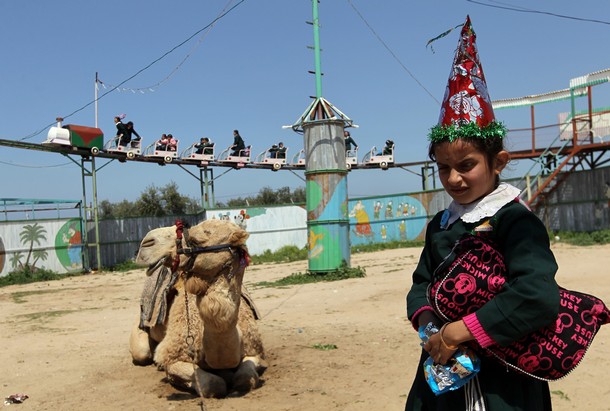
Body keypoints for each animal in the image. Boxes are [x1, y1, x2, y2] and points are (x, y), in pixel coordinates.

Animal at [128, 220, 266, 398]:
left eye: (199, 238)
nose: (147, 242)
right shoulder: (175, 355)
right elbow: (212, 384)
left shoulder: (254, 350)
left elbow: (245, 377)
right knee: (142, 352)